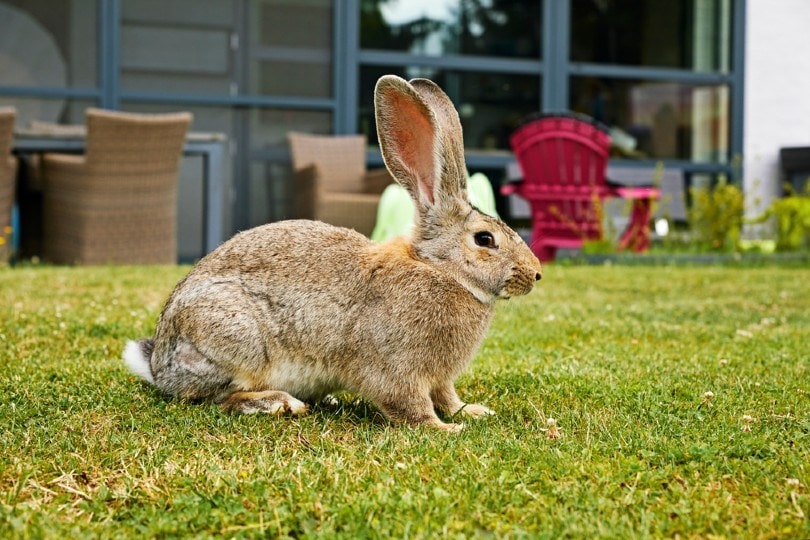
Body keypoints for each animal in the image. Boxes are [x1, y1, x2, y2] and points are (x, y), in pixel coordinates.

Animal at [124, 74, 544, 432]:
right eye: (485, 239)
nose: (536, 274)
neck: (438, 268)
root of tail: (158, 366)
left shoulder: (439, 378)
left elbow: (446, 395)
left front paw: (471, 411)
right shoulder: (396, 369)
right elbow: (410, 404)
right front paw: (444, 429)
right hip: (235, 340)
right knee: (213, 397)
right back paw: (279, 403)